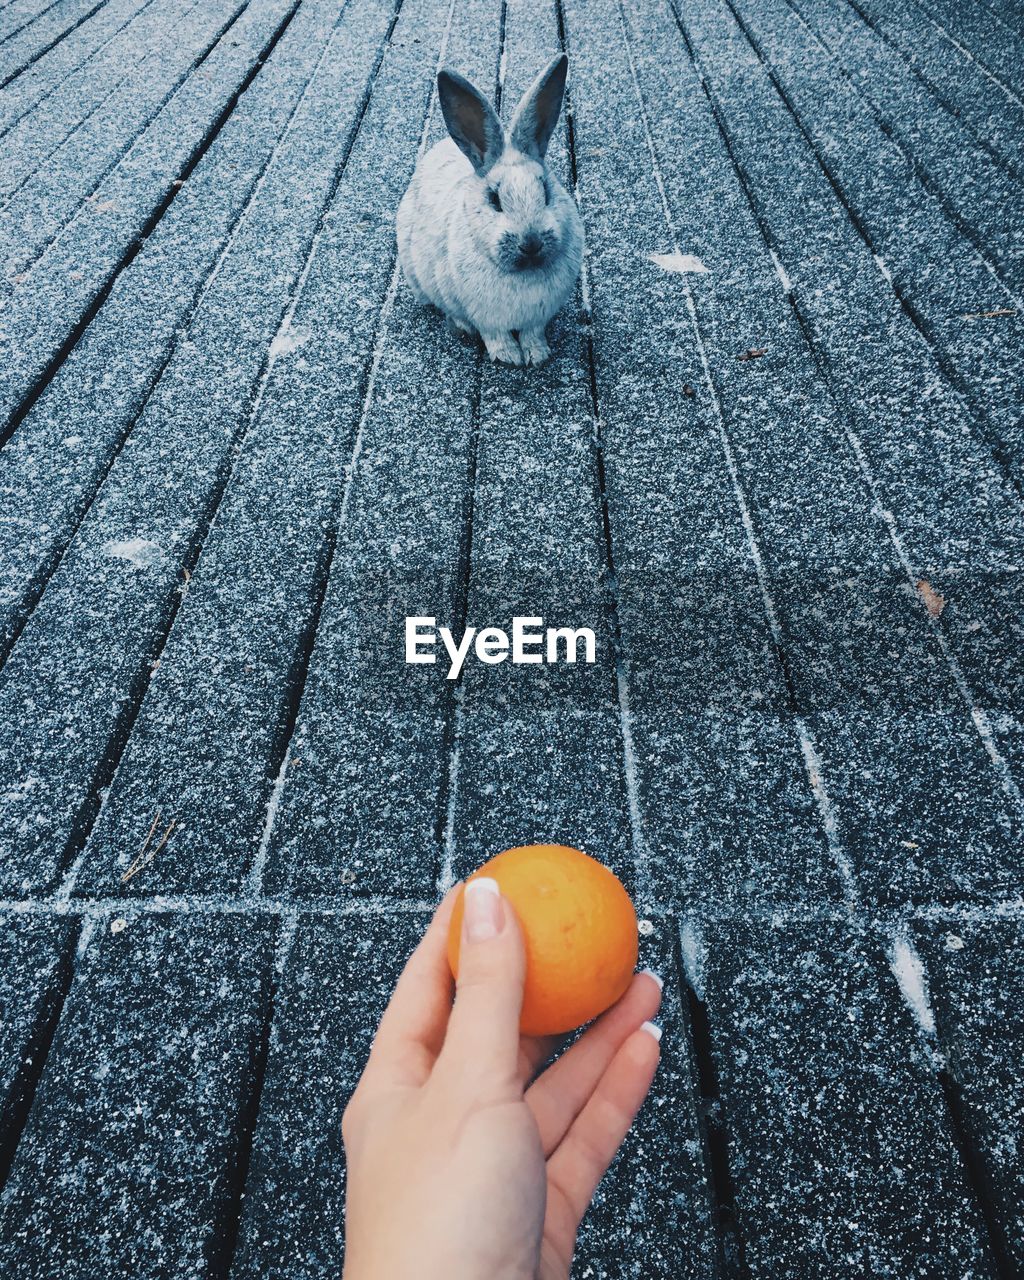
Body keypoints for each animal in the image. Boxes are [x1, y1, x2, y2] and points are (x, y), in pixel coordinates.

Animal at [396, 53, 583, 366]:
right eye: (494, 199)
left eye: (546, 191)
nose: (531, 243)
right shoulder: (484, 317)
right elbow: (494, 335)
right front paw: (508, 357)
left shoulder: (537, 320)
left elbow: (532, 334)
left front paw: (537, 355)